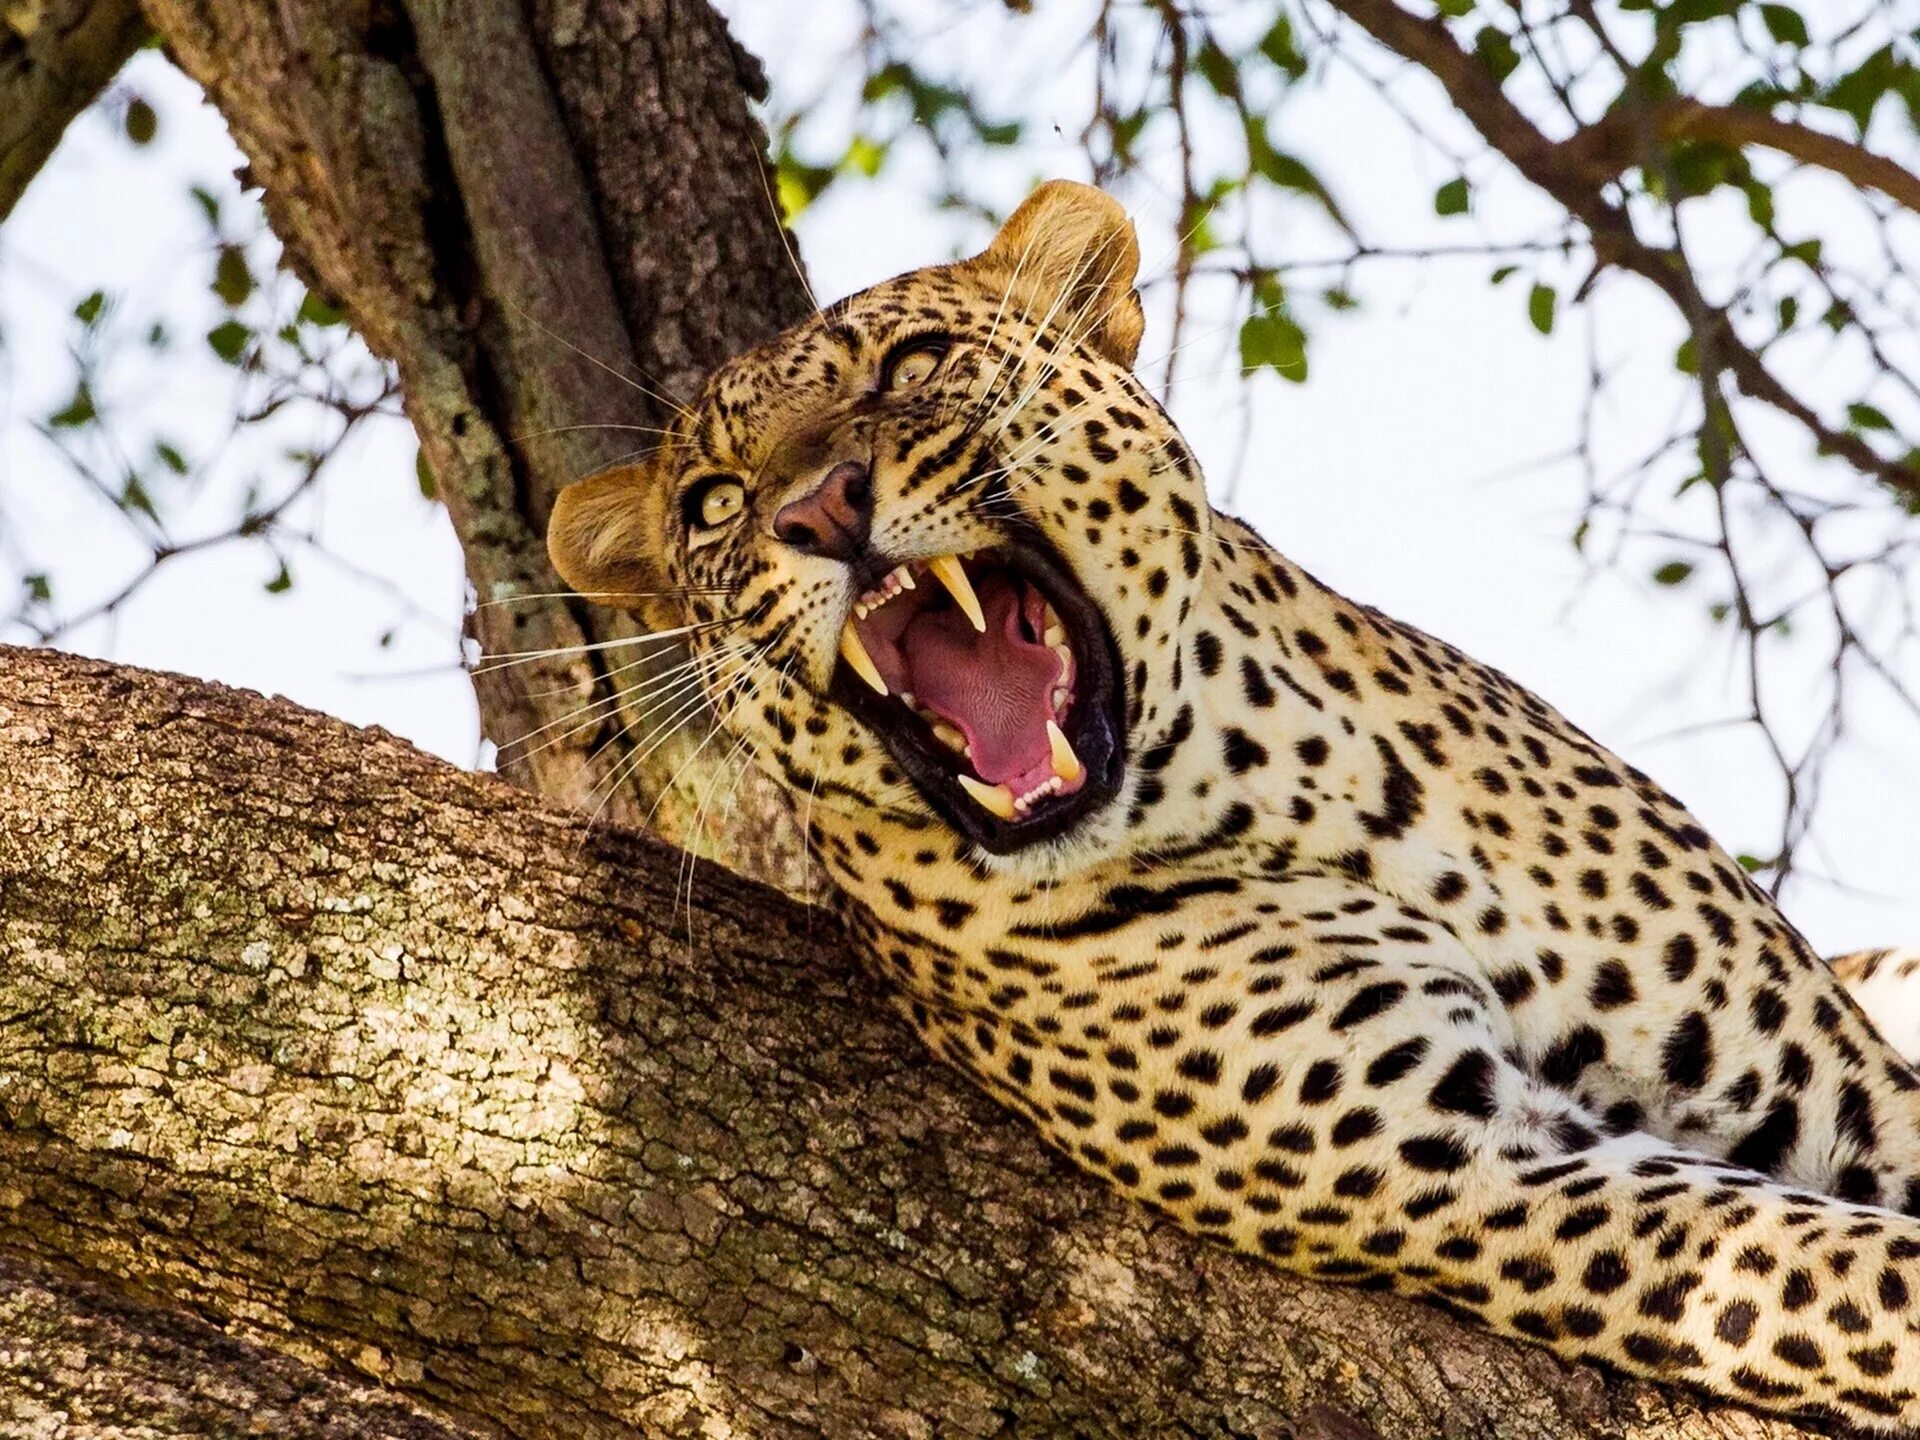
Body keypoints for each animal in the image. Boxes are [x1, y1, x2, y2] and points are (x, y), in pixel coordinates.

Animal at [549, 183, 1920, 1440]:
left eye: (916, 363)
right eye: (713, 504)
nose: (819, 507)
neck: (1283, 771)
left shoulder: (1833, 1085)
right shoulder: (1476, 1167)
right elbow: (1863, 1276)